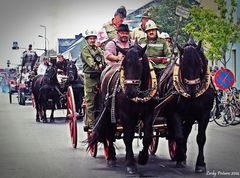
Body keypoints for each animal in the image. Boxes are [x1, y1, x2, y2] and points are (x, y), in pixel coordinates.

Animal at [88, 43, 158, 175]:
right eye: (123, 66)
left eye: (139, 65)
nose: (130, 92)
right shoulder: (126, 115)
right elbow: (128, 137)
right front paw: (130, 164)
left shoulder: (149, 113)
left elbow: (147, 136)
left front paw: (142, 157)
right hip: (109, 111)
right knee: (110, 133)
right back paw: (111, 157)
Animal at [159, 38, 214, 173]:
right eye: (182, 66)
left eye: (200, 63)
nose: (192, 90)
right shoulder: (175, 113)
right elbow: (179, 136)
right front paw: (181, 157)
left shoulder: (204, 113)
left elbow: (201, 138)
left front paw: (200, 164)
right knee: (178, 133)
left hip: (190, 116)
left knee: (186, 132)